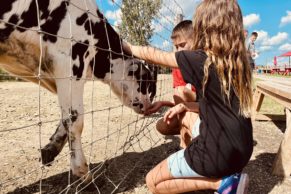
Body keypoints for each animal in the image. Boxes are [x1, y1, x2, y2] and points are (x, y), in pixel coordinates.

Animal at [0, 0, 157, 181]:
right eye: (146, 80)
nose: (150, 106)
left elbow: (66, 117)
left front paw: (50, 149)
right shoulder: (70, 62)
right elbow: (75, 119)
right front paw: (82, 169)